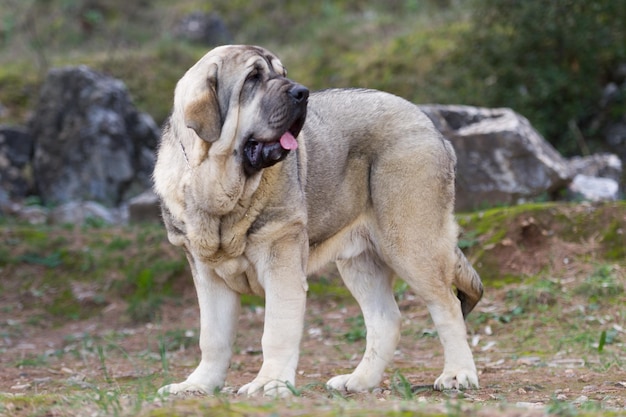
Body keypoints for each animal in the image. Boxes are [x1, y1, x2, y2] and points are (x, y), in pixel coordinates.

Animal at [152, 45, 482, 396]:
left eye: (282, 74)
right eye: (253, 78)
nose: (301, 92)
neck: (220, 189)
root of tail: (430, 126)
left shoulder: (281, 261)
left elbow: (276, 331)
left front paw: (269, 383)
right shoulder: (207, 274)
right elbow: (212, 338)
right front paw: (198, 385)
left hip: (411, 243)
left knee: (447, 306)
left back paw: (458, 373)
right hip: (361, 261)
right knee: (385, 320)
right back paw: (359, 380)